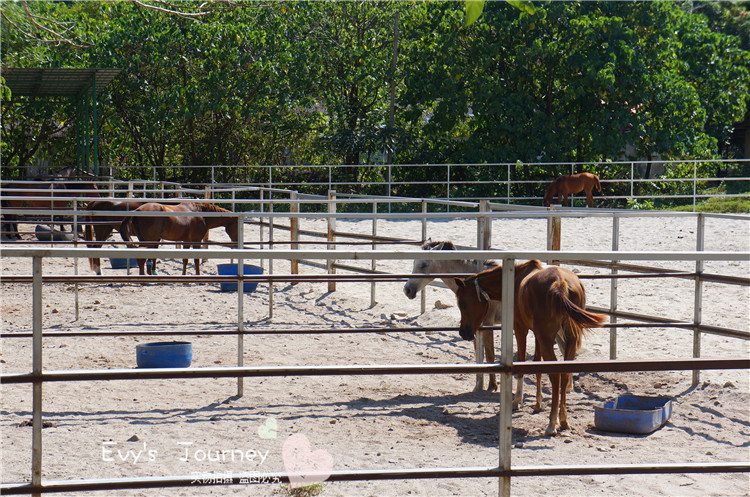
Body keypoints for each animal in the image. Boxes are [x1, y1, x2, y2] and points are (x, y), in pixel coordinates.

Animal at [402, 240, 502, 392]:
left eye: (424, 264)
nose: (407, 290)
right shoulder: (475, 327)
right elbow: (479, 354)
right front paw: (478, 387)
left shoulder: (487, 324)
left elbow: (490, 354)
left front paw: (492, 386)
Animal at [452, 260, 604, 434]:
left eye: (462, 303)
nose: (463, 332)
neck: (516, 280)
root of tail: (561, 284)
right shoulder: (537, 334)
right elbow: (537, 363)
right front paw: (538, 403)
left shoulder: (520, 329)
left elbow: (522, 362)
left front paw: (517, 401)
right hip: (568, 339)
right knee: (565, 374)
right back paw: (563, 420)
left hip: (547, 339)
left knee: (555, 375)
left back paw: (552, 423)